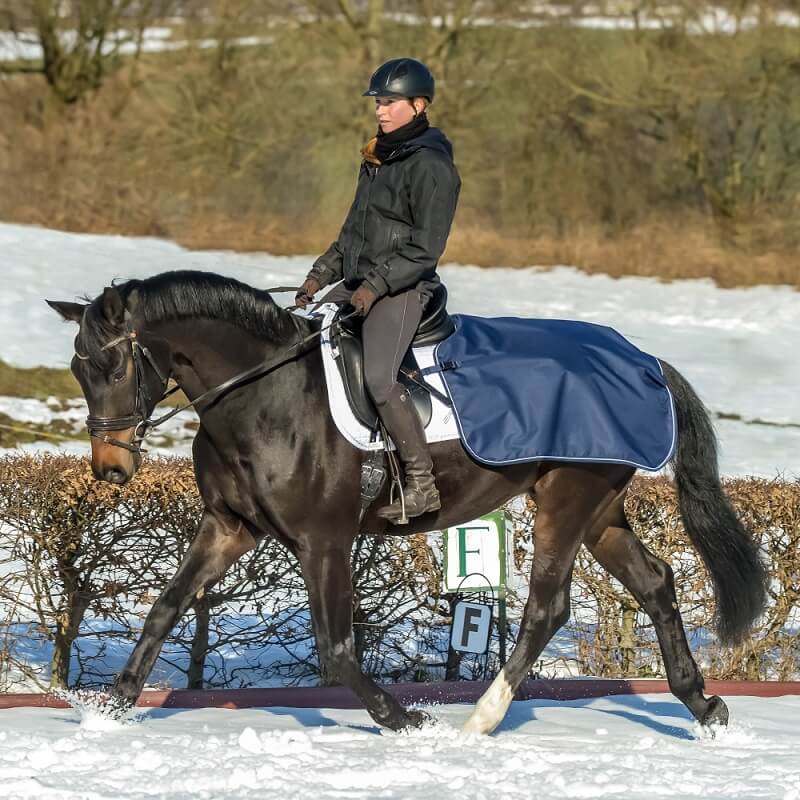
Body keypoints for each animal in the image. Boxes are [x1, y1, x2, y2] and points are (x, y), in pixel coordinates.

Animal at [48, 272, 768, 736]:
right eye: (80, 370)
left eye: (115, 367)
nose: (111, 469)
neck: (263, 395)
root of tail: (643, 360)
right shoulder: (229, 527)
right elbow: (165, 609)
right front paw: (112, 707)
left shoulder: (324, 541)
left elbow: (338, 647)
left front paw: (402, 716)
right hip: (598, 508)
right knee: (655, 582)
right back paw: (703, 706)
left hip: (569, 496)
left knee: (546, 609)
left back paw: (480, 718)